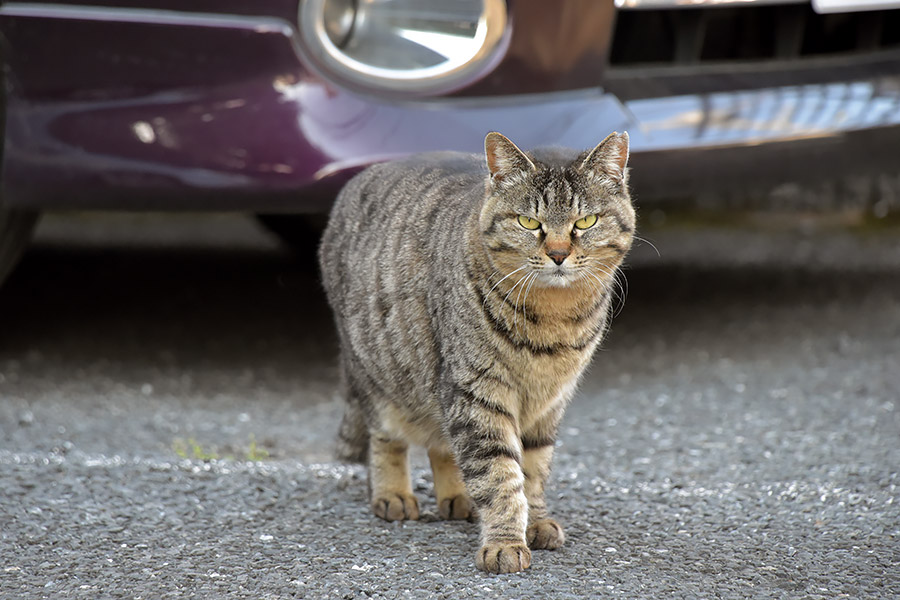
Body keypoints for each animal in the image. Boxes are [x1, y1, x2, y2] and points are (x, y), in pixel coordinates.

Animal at [320, 131, 636, 572]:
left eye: (585, 222)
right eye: (529, 222)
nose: (558, 254)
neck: (554, 319)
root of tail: (359, 177)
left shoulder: (548, 403)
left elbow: (532, 471)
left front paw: (535, 521)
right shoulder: (476, 390)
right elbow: (499, 473)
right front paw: (504, 542)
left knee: (442, 443)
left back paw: (457, 497)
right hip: (382, 376)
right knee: (386, 438)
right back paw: (393, 494)